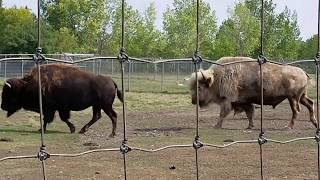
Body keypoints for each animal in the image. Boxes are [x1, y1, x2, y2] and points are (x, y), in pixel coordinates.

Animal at [190, 57, 318, 129]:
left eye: (199, 87)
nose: (193, 101)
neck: (218, 77)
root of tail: (303, 72)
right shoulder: (244, 101)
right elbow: (250, 113)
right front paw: (250, 126)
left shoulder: (227, 100)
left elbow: (222, 114)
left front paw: (216, 126)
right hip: (301, 97)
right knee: (310, 104)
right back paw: (315, 123)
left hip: (293, 98)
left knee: (296, 111)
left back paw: (289, 126)